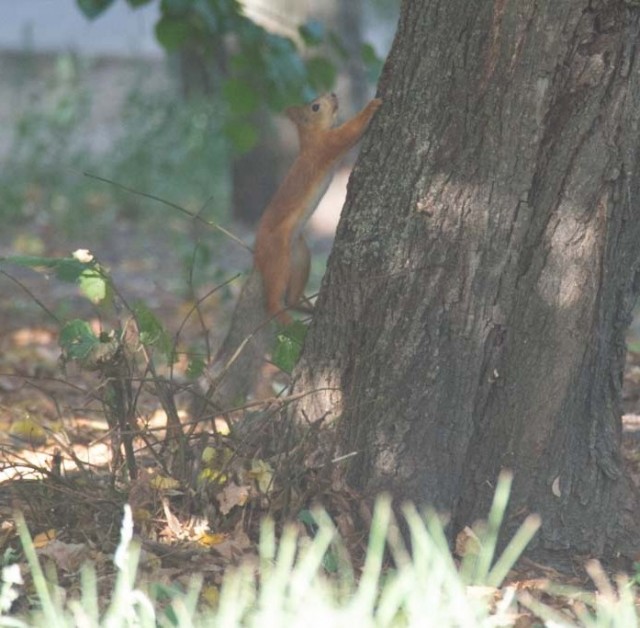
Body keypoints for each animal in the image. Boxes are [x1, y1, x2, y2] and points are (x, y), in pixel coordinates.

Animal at [205, 92, 380, 408]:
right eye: (315, 106)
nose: (333, 94)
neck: (309, 140)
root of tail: (258, 258)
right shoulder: (327, 146)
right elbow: (349, 133)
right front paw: (372, 105)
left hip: (301, 257)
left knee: (291, 297)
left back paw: (307, 307)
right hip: (280, 260)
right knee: (275, 303)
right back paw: (290, 324)